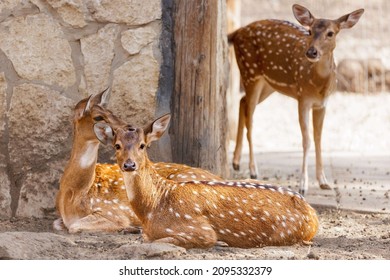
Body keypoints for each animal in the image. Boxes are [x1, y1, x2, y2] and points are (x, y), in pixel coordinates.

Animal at [55, 90, 221, 234]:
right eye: (98, 117)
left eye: (111, 112)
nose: (129, 127)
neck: (74, 194)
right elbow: (58, 223)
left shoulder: (114, 211)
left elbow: (74, 226)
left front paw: (128, 226)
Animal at [95, 114, 320, 249]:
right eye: (117, 145)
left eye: (142, 145)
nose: (129, 164)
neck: (153, 208)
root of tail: (313, 213)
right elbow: (144, 238)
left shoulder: (200, 230)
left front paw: (221, 242)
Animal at [227, 3, 364, 195]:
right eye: (310, 31)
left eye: (330, 33)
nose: (312, 52)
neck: (318, 85)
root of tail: (236, 32)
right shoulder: (303, 99)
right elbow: (306, 140)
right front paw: (303, 185)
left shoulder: (322, 104)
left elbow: (319, 138)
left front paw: (324, 181)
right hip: (250, 72)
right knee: (250, 119)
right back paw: (253, 170)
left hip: (268, 84)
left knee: (242, 102)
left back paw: (236, 162)